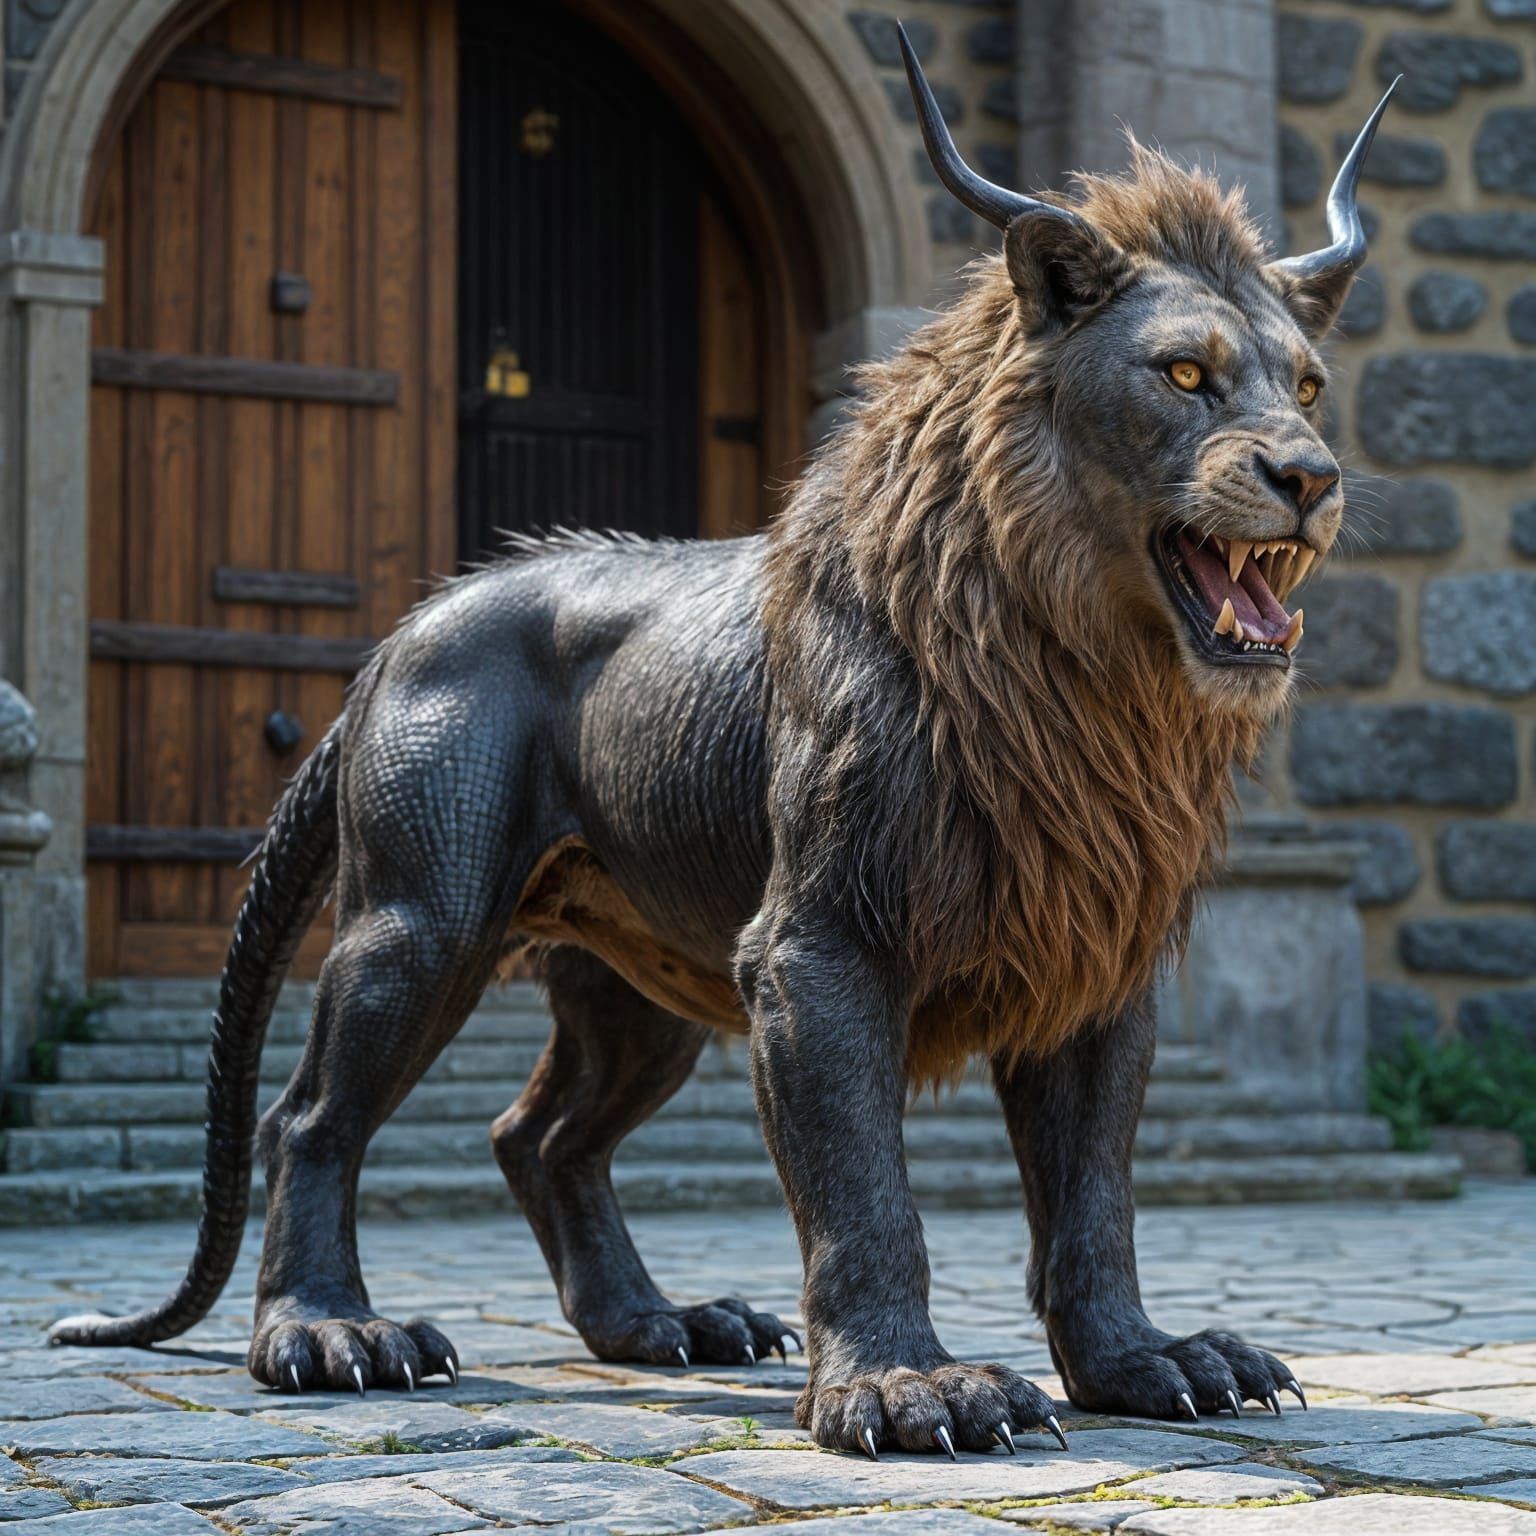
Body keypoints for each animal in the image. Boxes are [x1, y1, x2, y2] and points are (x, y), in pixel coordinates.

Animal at [53, 34, 1397, 1459]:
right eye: (1184, 374)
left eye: (1308, 384)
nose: (1310, 476)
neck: (1080, 684)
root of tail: (410, 623)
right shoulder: (817, 946)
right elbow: (864, 1191)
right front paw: (910, 1392)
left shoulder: (1093, 960)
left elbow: (1093, 1199)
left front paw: (1151, 1363)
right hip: (421, 920)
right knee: (307, 1116)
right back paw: (327, 1335)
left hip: (641, 993)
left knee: (539, 1136)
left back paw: (664, 1327)